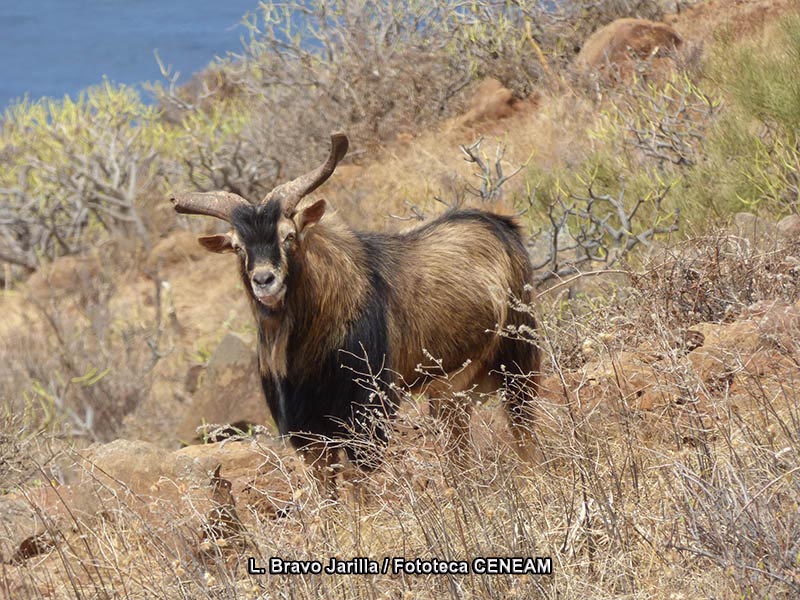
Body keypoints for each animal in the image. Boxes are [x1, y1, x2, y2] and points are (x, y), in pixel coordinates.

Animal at [171, 132, 540, 488]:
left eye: (289, 236)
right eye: (237, 247)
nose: (264, 280)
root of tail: (501, 225)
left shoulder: (367, 411)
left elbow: (360, 483)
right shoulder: (308, 430)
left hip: (518, 360)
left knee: (523, 427)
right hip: (452, 390)